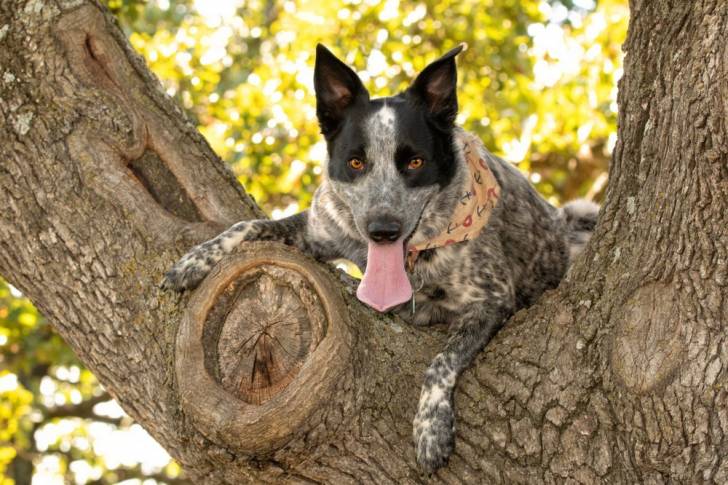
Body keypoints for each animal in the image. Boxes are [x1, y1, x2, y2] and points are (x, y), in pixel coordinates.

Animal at [162, 44, 600, 468]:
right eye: (356, 162)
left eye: (415, 162)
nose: (383, 230)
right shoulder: (319, 230)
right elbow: (248, 225)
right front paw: (193, 262)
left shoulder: (491, 300)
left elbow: (442, 361)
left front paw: (430, 429)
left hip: (581, 214)